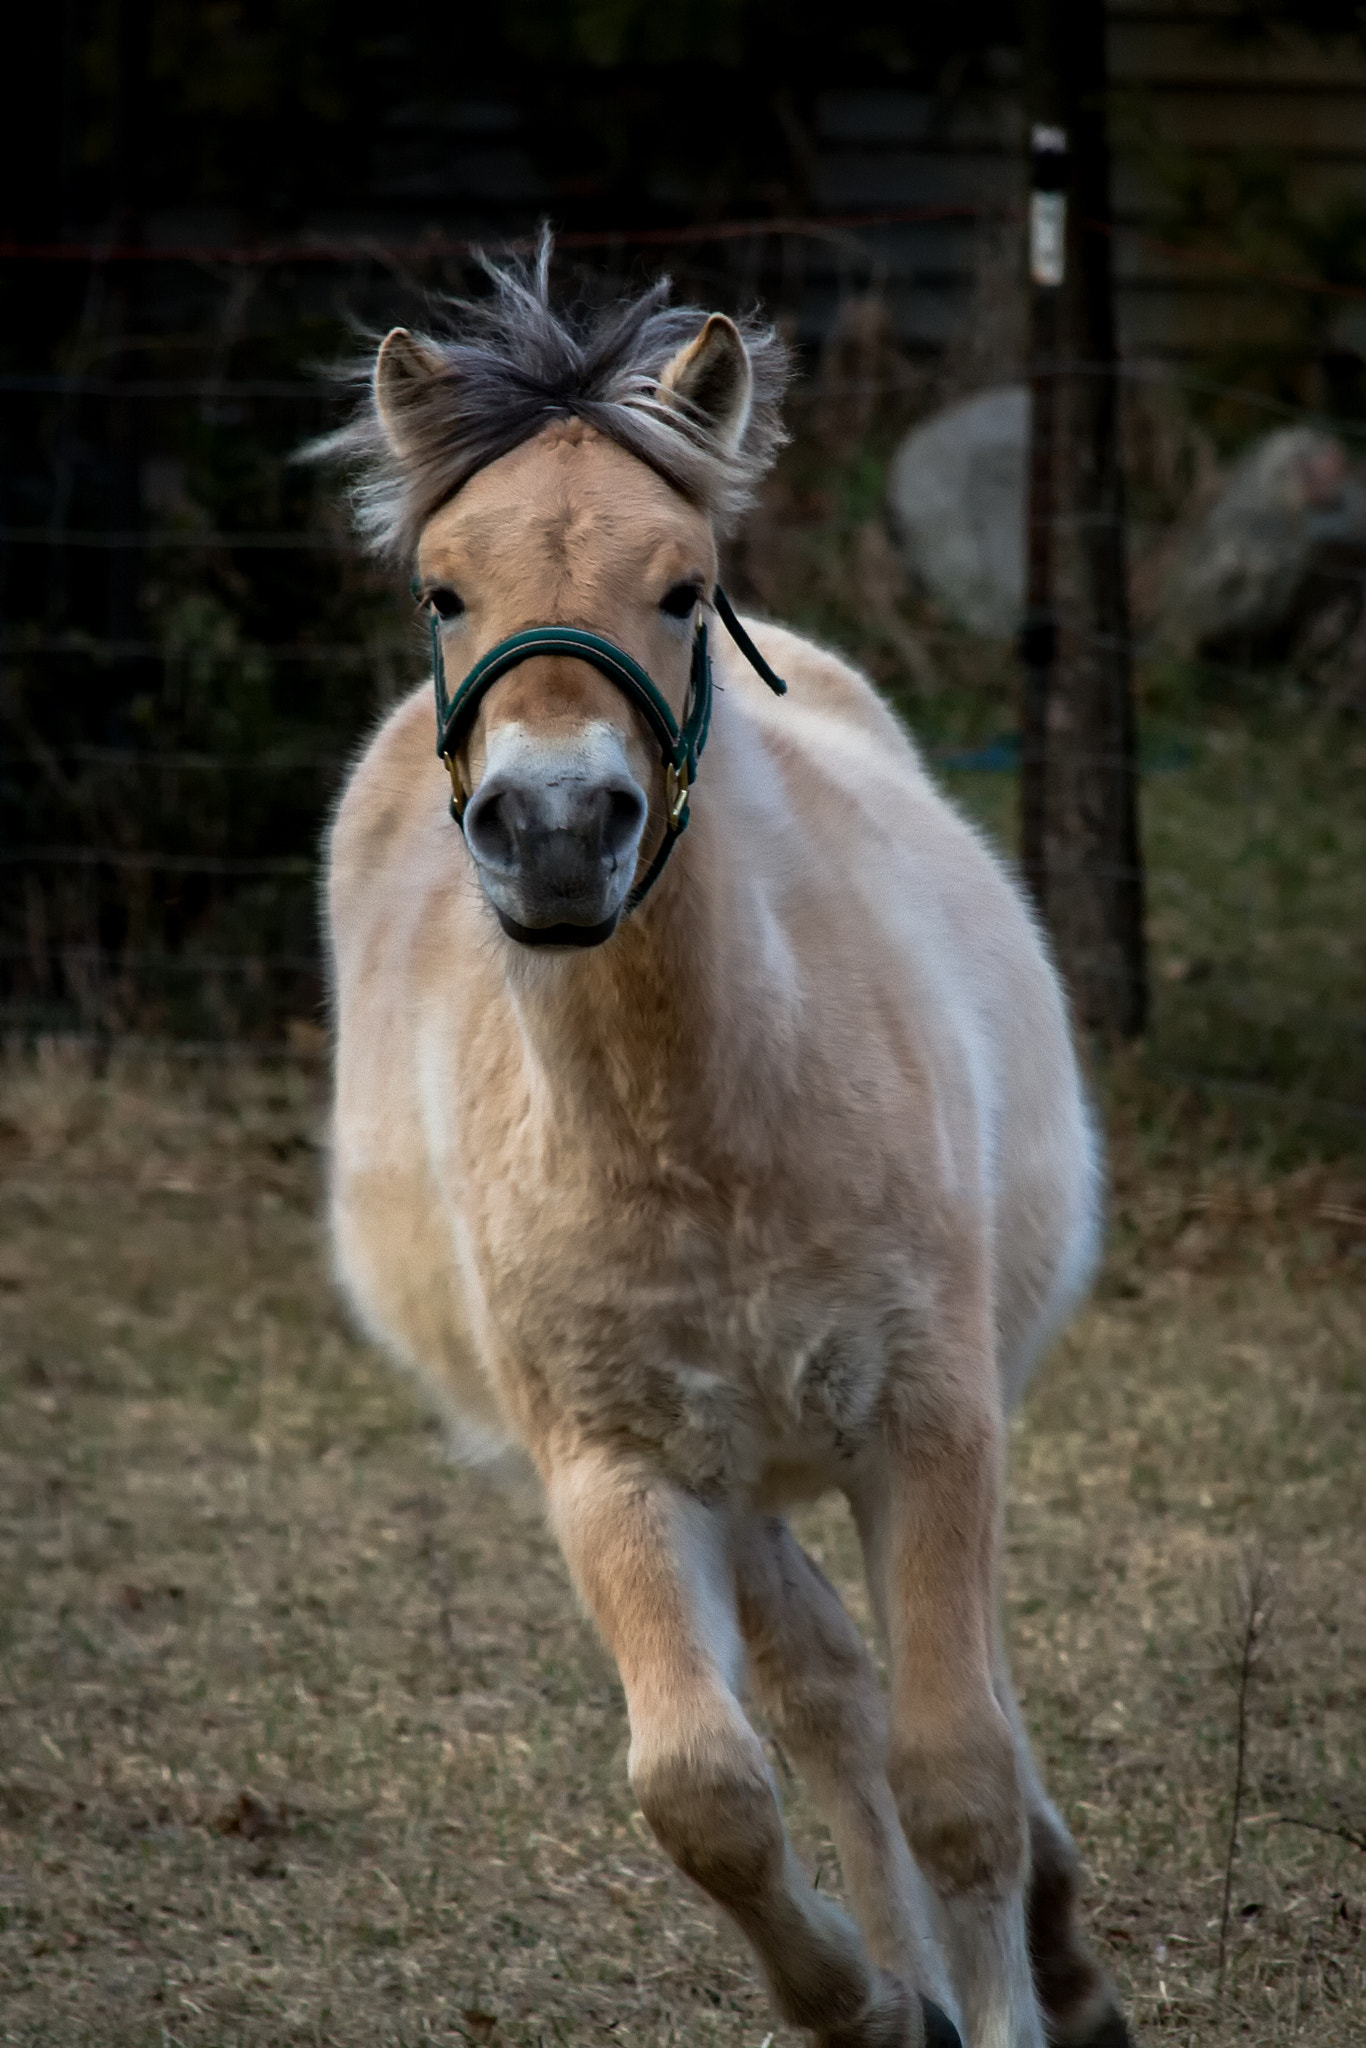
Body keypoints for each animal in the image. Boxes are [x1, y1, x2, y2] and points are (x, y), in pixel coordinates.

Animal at [318, 245, 1130, 2048]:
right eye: (443, 590)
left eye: (685, 586)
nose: (557, 830)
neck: (698, 1124)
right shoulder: (614, 1470)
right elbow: (703, 1788)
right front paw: (866, 2002)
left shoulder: (929, 1414)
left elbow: (959, 1768)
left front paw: (1007, 1994)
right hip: (742, 1474)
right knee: (822, 1689)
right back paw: (915, 1978)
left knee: (948, 1699)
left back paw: (1049, 1962)